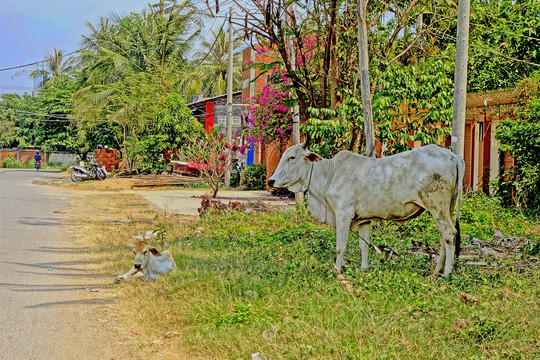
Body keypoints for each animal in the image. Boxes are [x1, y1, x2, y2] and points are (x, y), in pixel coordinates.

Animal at [268, 143, 464, 276]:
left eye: (292, 157)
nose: (271, 181)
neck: (329, 174)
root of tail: (452, 155)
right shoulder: (365, 219)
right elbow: (364, 245)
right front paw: (363, 268)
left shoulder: (343, 214)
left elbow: (340, 246)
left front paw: (337, 270)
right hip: (445, 208)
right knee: (443, 237)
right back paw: (436, 272)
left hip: (437, 206)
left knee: (449, 234)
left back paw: (446, 273)